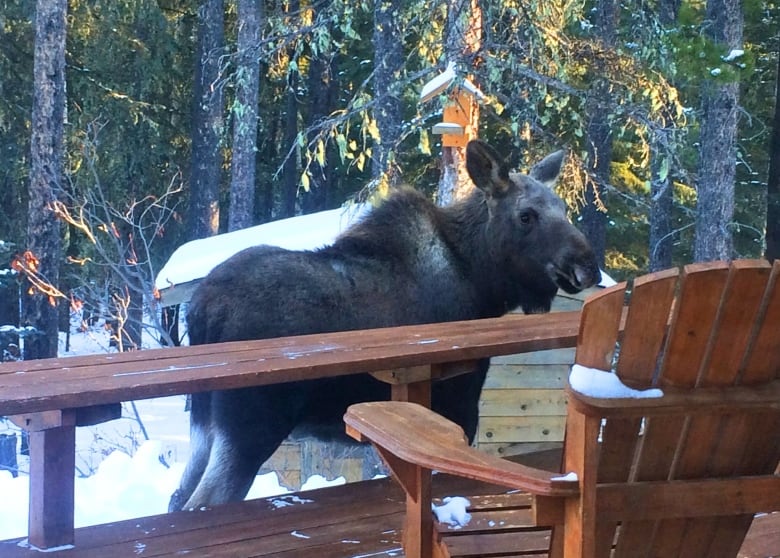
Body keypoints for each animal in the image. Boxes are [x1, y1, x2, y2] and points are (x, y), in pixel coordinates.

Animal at [169, 139, 596, 512]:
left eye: (563, 207)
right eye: (526, 215)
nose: (587, 264)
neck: (481, 282)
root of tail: (201, 310)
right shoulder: (456, 407)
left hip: (205, 424)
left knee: (178, 496)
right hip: (251, 426)